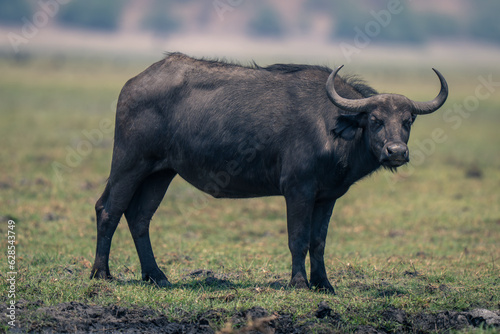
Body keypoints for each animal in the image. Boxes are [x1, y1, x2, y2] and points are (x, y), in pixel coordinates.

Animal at [90, 51, 450, 292]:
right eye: (375, 120)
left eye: (407, 121)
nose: (396, 152)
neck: (332, 126)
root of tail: (134, 83)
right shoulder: (298, 190)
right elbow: (298, 239)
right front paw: (300, 282)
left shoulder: (327, 196)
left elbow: (319, 241)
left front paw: (324, 283)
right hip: (130, 163)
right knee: (108, 209)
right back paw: (101, 274)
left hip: (161, 173)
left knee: (139, 217)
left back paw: (156, 275)